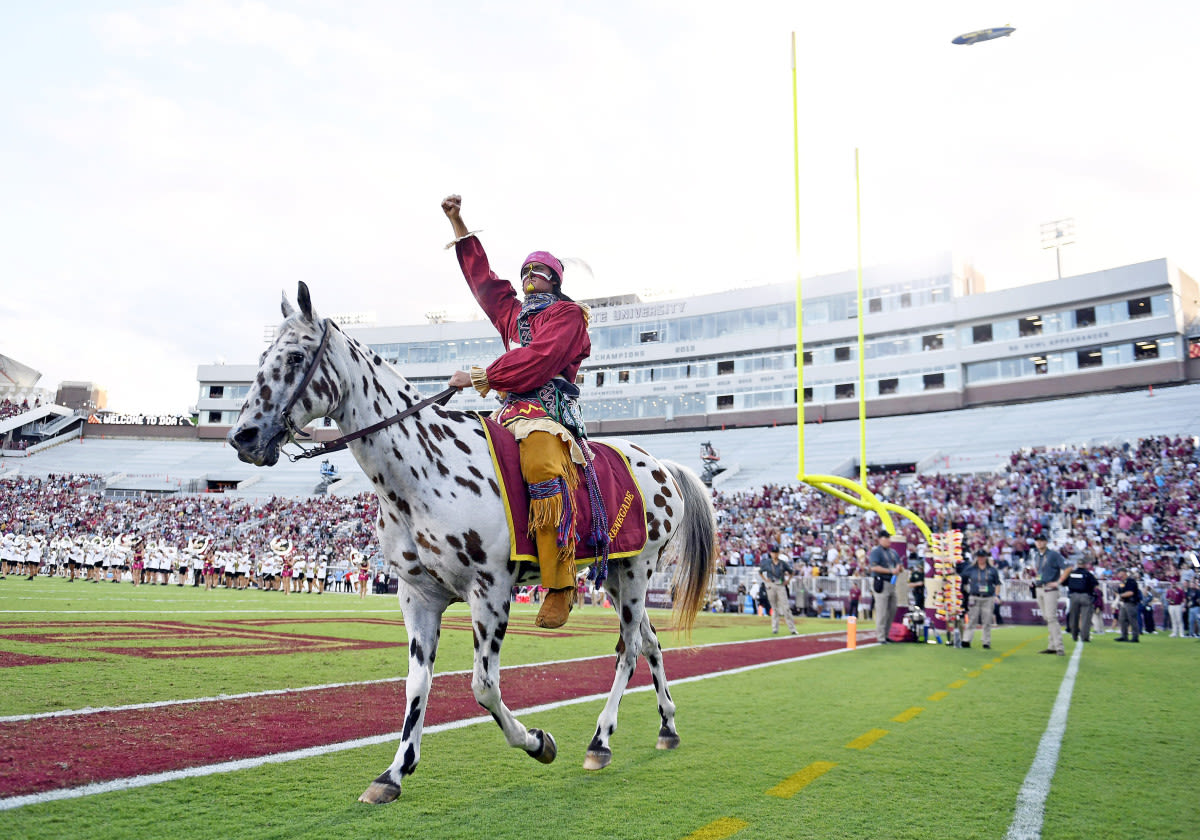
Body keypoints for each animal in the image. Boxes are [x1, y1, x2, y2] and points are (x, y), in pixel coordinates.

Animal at [229, 284, 715, 806]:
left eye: (296, 355)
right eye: (262, 358)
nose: (243, 436)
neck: (424, 467)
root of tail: (662, 464)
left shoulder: (491, 592)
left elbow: (483, 686)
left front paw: (537, 742)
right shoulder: (418, 597)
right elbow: (416, 684)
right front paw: (394, 772)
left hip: (638, 571)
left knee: (628, 649)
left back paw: (600, 741)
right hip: (617, 577)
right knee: (650, 642)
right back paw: (667, 727)